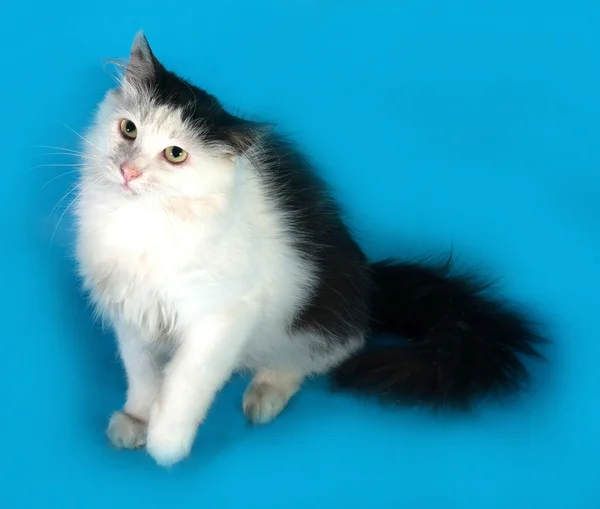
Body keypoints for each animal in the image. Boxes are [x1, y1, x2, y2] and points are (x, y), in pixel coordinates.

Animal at [74, 31, 544, 466]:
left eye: (175, 154)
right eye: (129, 129)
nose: (129, 171)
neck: (142, 222)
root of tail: (371, 282)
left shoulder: (223, 317)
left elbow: (185, 381)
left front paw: (166, 443)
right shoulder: (131, 311)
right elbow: (143, 374)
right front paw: (136, 420)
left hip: (304, 321)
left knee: (317, 357)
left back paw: (264, 396)